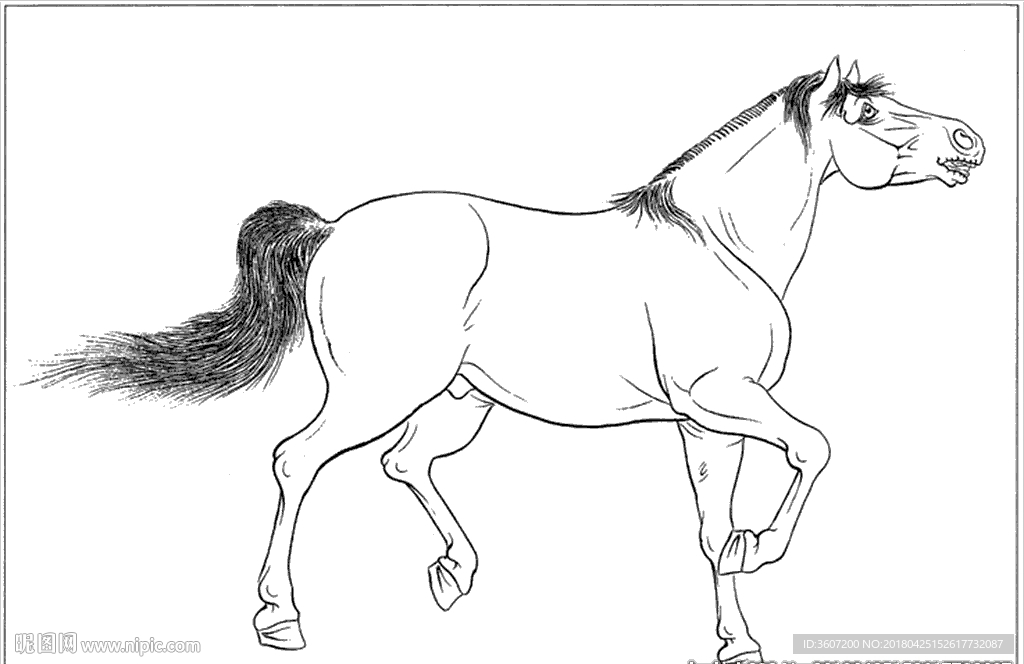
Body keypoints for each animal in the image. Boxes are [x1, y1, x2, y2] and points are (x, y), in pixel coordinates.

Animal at [30, 56, 985, 660]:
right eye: (868, 114)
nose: (969, 145)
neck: (719, 243)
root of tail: (333, 230)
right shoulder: (721, 398)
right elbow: (814, 447)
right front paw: (764, 550)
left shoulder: (706, 422)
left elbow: (712, 532)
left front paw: (738, 636)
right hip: (379, 392)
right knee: (298, 460)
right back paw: (280, 619)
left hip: (458, 402)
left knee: (403, 462)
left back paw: (454, 572)